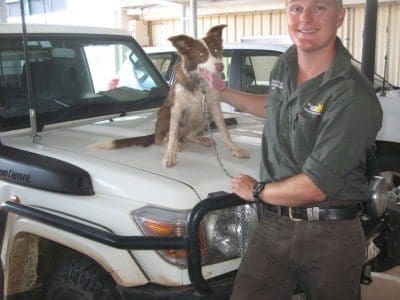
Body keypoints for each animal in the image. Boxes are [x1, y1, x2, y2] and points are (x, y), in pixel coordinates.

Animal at [92, 24, 248, 168]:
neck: (198, 84)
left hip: (204, 115)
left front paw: (235, 149)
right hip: (165, 113)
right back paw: (174, 143)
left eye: (216, 50)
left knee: (189, 137)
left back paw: (201, 139)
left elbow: (224, 131)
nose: (220, 66)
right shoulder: (176, 109)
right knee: (161, 139)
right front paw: (169, 156)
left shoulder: (213, 105)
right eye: (200, 54)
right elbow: (173, 136)